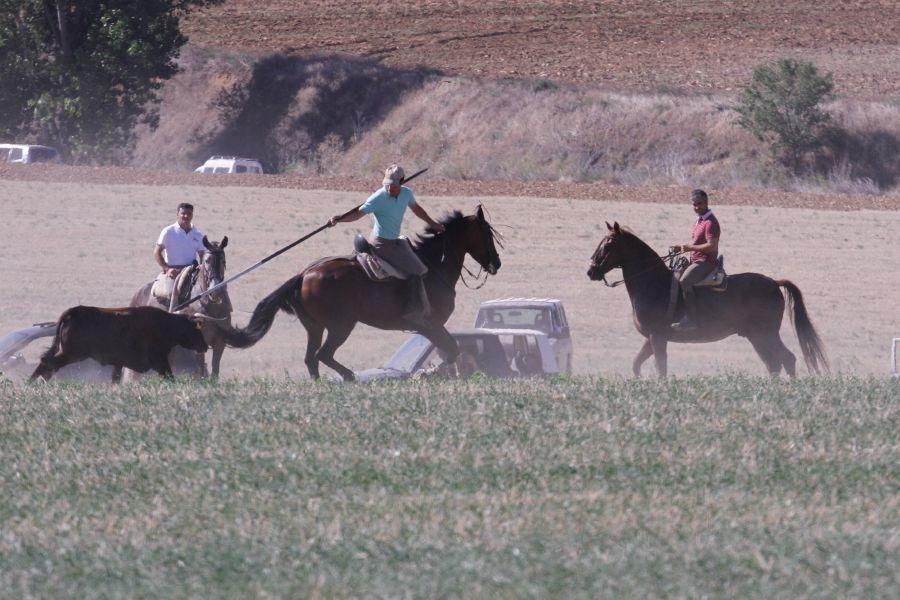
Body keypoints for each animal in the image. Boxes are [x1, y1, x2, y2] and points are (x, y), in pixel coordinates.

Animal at [29, 308, 209, 382]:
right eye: (196, 330)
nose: (205, 346)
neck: (166, 325)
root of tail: (72, 312)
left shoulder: (119, 363)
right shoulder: (160, 361)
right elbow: (169, 376)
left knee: (47, 362)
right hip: (71, 354)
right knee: (49, 363)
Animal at [132, 237, 236, 378]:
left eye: (223, 261)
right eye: (207, 261)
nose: (216, 292)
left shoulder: (220, 342)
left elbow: (215, 370)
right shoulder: (199, 343)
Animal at [225, 204, 502, 378]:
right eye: (486, 232)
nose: (496, 263)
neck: (435, 265)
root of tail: (303, 274)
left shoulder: (431, 327)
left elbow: (450, 350)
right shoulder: (429, 324)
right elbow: (450, 350)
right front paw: (428, 372)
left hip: (315, 327)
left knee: (311, 358)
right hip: (341, 325)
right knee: (324, 355)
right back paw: (349, 376)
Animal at [584, 223, 828, 378]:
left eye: (608, 245)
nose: (591, 271)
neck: (653, 283)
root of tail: (774, 283)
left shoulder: (658, 336)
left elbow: (661, 369)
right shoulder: (652, 338)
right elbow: (636, 365)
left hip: (765, 333)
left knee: (787, 359)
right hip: (756, 336)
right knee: (774, 364)